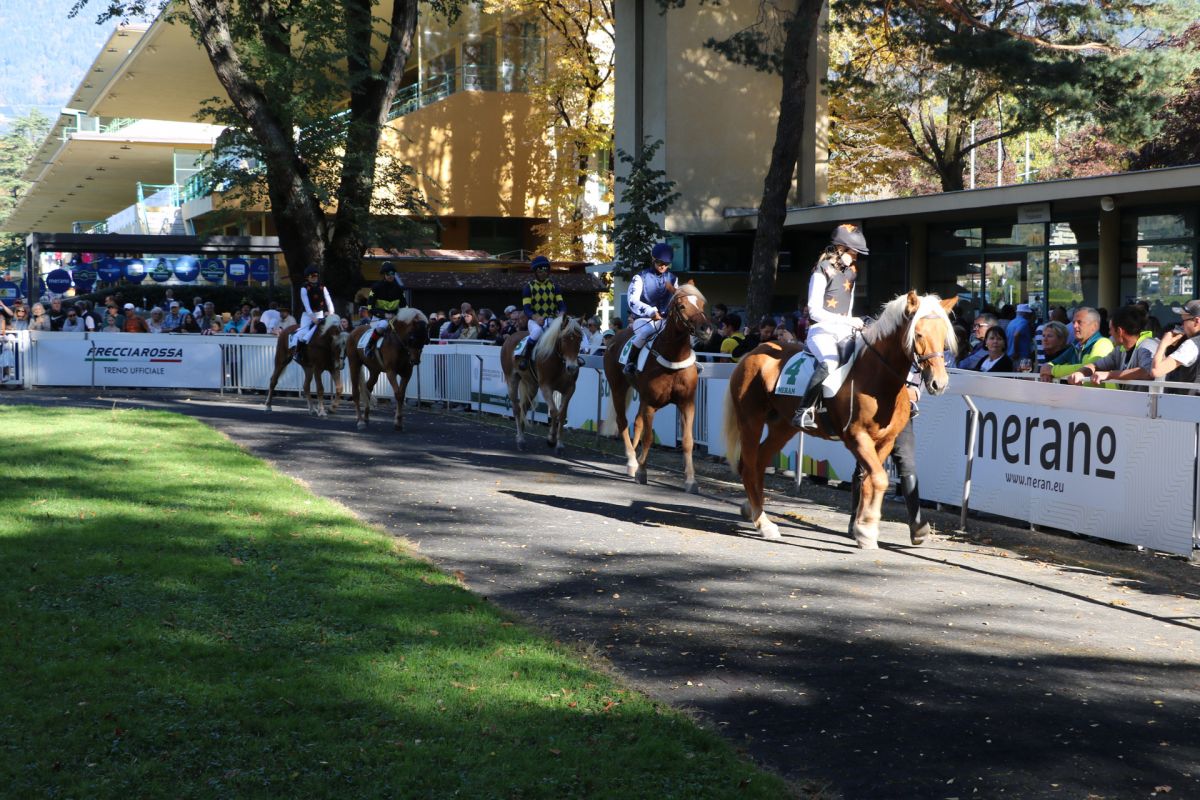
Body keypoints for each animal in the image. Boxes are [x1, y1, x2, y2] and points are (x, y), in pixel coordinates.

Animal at [498, 313, 584, 454]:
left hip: (531, 385)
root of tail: (511, 337)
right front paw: (551, 440)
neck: (559, 362)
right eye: (564, 338)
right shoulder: (546, 387)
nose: (572, 368)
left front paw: (559, 444)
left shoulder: (570, 389)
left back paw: (522, 434)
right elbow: (554, 411)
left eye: (580, 339)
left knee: (524, 407)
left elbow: (562, 414)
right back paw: (520, 439)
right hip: (512, 380)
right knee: (516, 408)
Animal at [602, 284, 712, 493]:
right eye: (682, 306)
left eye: (701, 304)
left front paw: (690, 480)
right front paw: (642, 471)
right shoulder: (651, 404)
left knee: (637, 422)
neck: (673, 357)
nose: (706, 329)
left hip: (641, 396)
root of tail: (614, 339)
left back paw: (635, 461)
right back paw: (631, 461)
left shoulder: (687, 404)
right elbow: (648, 438)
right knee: (622, 422)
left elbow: (687, 441)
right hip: (618, 388)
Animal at [723, 291, 957, 549]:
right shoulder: (856, 437)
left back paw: (753, 510)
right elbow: (879, 478)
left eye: (944, 335)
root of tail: (752, 352)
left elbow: (870, 480)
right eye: (918, 333)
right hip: (751, 421)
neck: (876, 378)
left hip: (782, 427)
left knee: (759, 462)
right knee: (748, 466)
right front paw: (866, 530)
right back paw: (763, 523)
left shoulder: (885, 441)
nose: (939, 383)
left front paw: (864, 528)